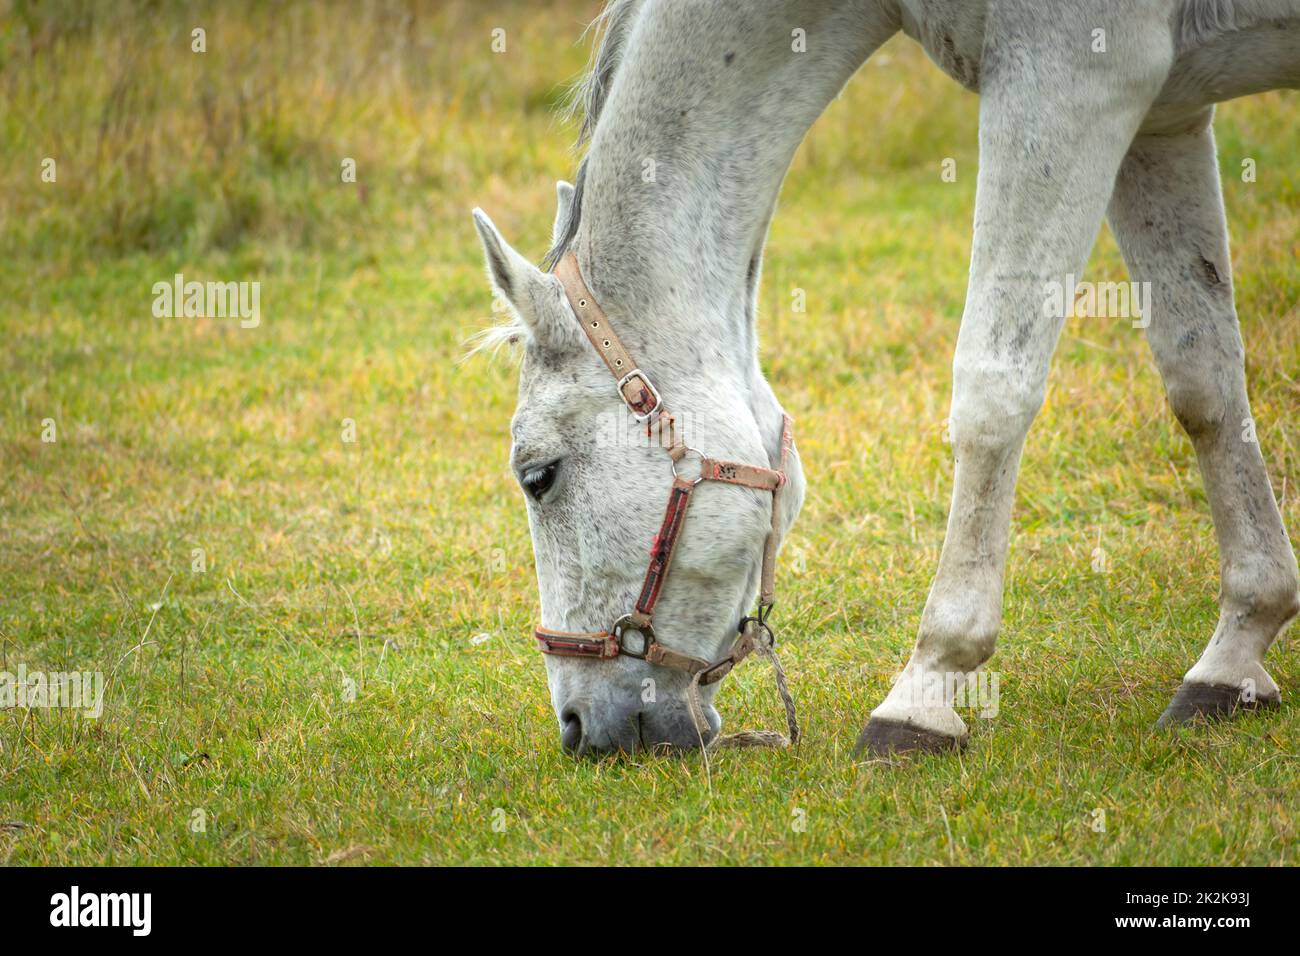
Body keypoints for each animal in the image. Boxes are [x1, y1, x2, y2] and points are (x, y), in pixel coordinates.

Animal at [471, 0, 1300, 756]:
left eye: (538, 476)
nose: (578, 732)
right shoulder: (1164, 115)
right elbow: (1203, 379)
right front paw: (1235, 655)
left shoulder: (1075, 80)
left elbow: (993, 392)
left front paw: (925, 691)